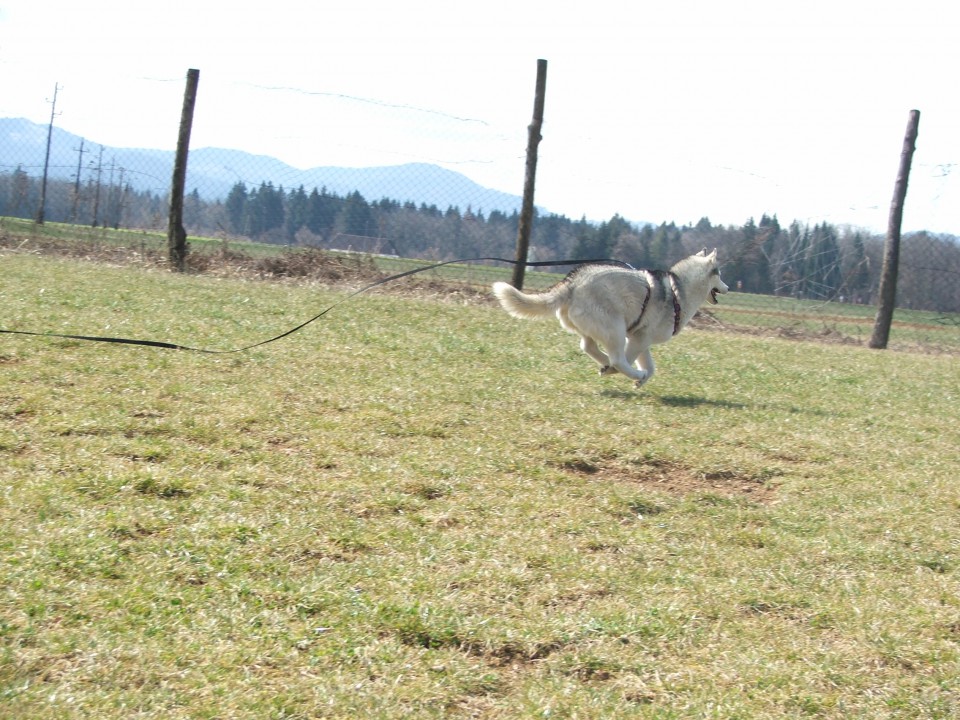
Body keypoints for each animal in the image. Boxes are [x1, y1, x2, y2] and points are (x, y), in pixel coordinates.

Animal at [496, 250, 728, 390]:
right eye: (720, 274)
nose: (727, 287)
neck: (678, 291)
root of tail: (572, 282)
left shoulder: (642, 339)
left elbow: (651, 367)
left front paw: (640, 381)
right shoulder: (638, 340)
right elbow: (629, 360)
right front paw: (633, 375)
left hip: (594, 327)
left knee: (588, 346)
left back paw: (608, 363)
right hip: (615, 328)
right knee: (617, 358)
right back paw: (617, 367)